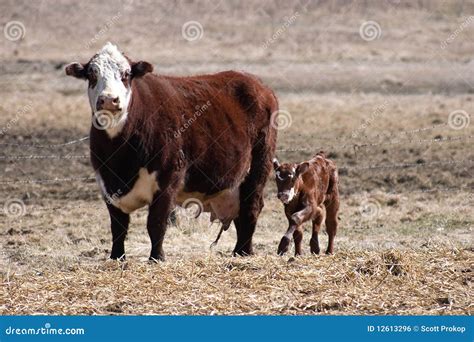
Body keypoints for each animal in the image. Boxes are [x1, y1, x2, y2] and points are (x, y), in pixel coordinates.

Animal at [64, 43, 278, 262]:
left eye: (126, 74)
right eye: (92, 74)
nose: (108, 99)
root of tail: (257, 84)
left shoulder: (168, 178)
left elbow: (156, 223)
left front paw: (156, 258)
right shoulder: (106, 181)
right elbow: (118, 226)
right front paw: (117, 257)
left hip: (259, 165)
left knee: (251, 207)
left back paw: (243, 252)